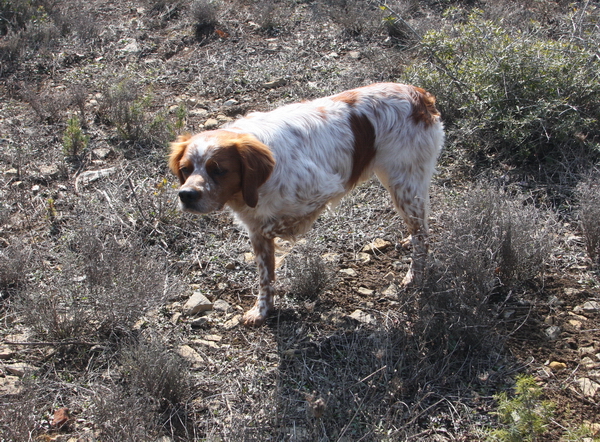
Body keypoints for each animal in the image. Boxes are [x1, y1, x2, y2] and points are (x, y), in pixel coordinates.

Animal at [171, 83, 442, 326]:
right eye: (185, 169)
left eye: (219, 170)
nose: (186, 195)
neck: (256, 186)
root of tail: (420, 94)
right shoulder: (255, 229)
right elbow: (265, 275)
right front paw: (262, 311)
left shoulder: (325, 189)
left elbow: (277, 227)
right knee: (420, 227)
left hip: (403, 184)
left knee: (423, 235)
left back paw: (413, 276)